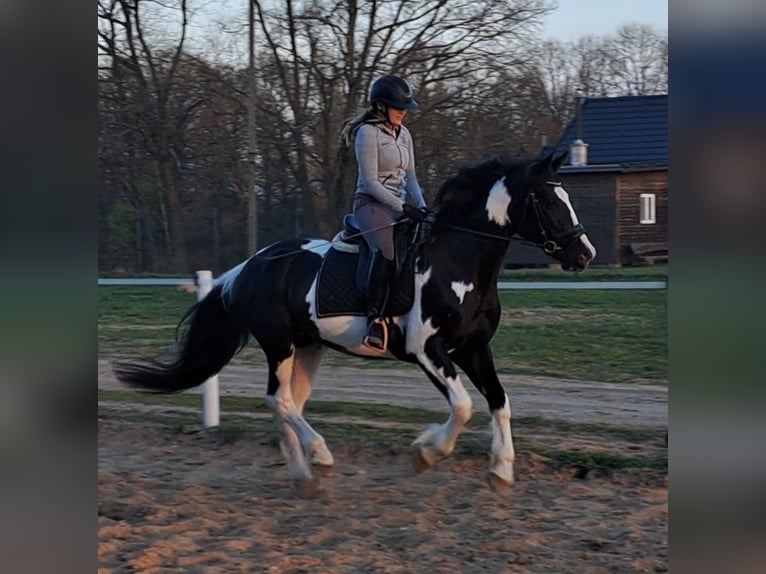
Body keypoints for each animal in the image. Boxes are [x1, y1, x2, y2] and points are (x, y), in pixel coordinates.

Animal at [113, 150, 596, 497]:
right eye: (549, 201)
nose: (584, 254)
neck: (456, 263)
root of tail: (246, 268)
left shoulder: (474, 348)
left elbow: (500, 402)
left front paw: (501, 471)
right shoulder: (427, 351)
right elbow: (462, 406)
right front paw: (425, 453)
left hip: (307, 348)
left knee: (285, 404)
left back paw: (305, 477)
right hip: (279, 343)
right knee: (279, 401)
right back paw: (321, 457)